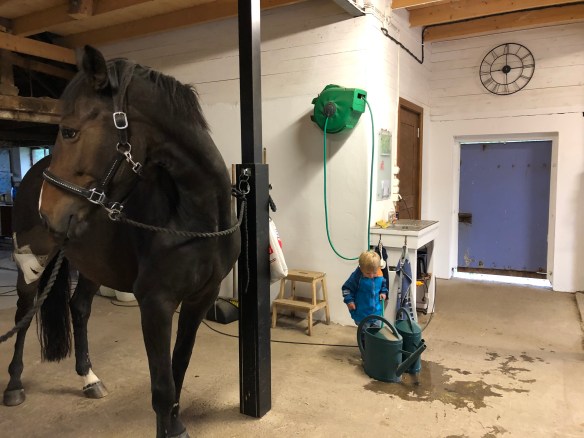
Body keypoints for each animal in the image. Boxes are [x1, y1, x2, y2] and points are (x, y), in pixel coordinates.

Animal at [3, 46, 241, 438]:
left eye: (69, 131)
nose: (46, 213)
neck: (194, 218)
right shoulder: (156, 304)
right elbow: (162, 388)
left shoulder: (199, 301)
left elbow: (178, 370)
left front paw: (174, 425)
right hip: (32, 264)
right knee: (24, 313)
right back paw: (14, 385)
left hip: (90, 266)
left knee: (79, 308)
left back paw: (88, 378)